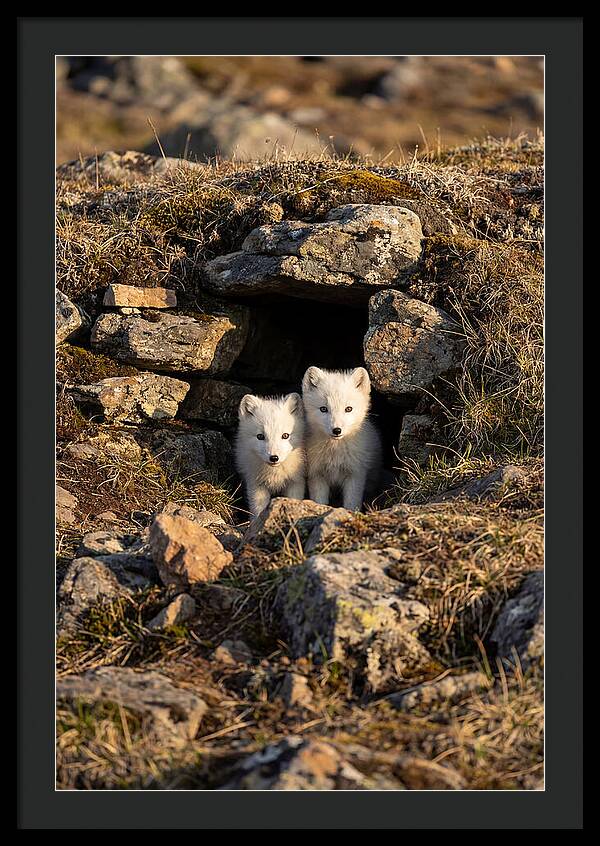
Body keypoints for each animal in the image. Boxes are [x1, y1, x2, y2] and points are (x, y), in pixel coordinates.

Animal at [302, 366, 383, 511]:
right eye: (323, 409)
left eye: (348, 409)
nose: (337, 430)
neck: (335, 453)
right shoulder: (316, 475)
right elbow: (320, 501)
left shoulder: (355, 474)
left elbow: (351, 503)